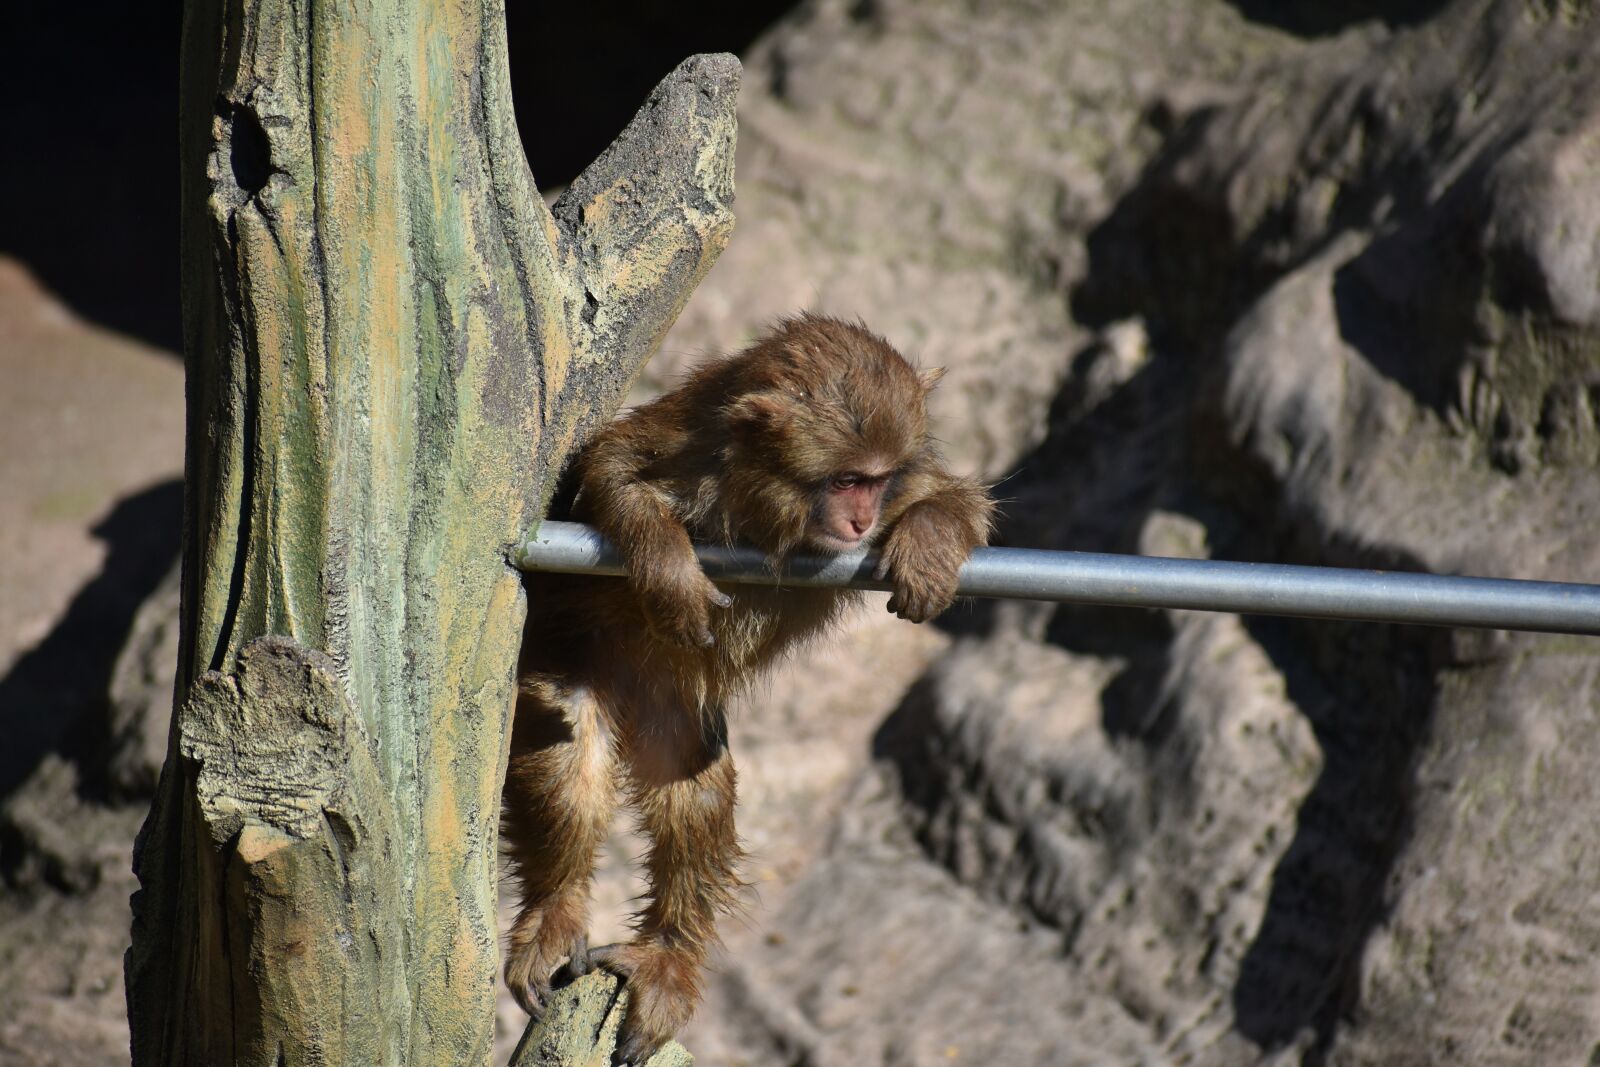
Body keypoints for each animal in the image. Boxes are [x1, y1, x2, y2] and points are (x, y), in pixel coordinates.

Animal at [503, 313, 995, 1063]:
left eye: (876, 481)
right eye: (846, 479)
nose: (860, 520)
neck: (765, 499)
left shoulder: (900, 490)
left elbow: (955, 497)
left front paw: (931, 546)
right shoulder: (688, 442)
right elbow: (611, 471)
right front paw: (669, 569)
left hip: (667, 702)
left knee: (693, 780)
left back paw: (667, 956)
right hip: (574, 651)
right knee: (566, 737)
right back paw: (555, 910)